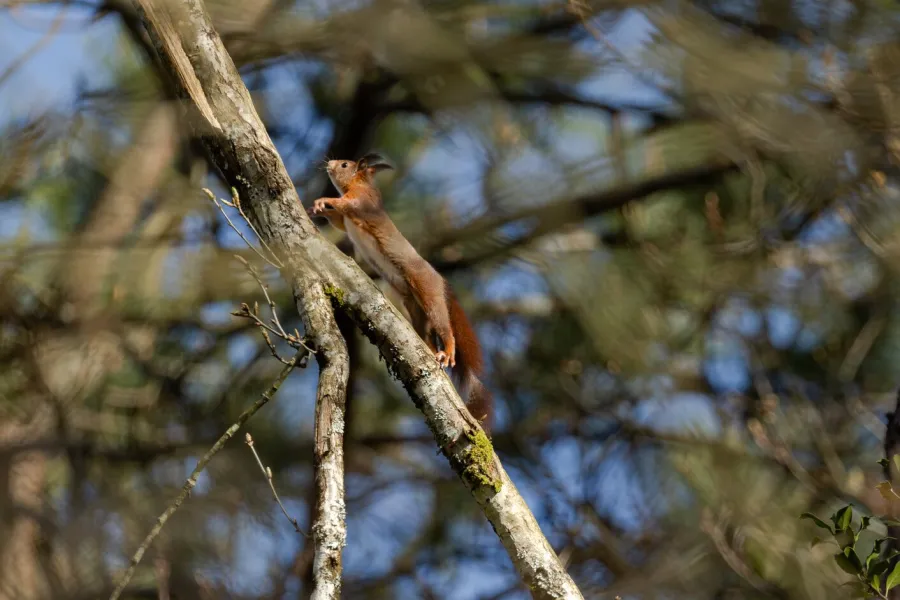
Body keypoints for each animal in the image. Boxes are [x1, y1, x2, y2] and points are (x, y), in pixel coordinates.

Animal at [307, 153, 492, 428]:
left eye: (345, 165)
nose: (328, 164)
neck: (361, 183)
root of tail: (441, 282)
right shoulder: (347, 218)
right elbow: (339, 223)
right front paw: (318, 210)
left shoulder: (363, 202)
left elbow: (347, 204)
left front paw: (323, 201)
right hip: (415, 311)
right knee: (426, 334)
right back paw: (431, 351)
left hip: (427, 293)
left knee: (445, 327)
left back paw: (447, 352)